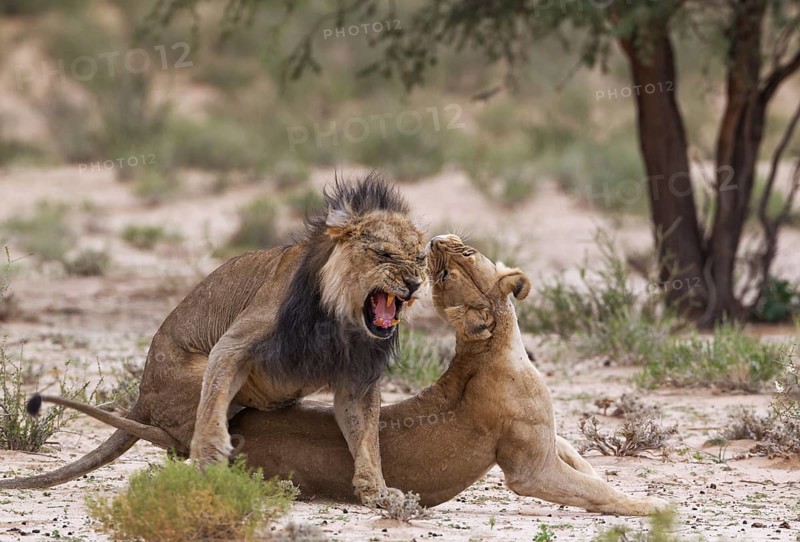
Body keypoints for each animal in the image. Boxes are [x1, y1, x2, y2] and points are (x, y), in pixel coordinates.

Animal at [0, 174, 427, 505]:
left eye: (420, 258)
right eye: (385, 254)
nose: (413, 283)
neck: (342, 318)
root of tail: (142, 396)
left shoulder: (357, 380)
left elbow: (366, 439)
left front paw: (378, 492)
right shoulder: (238, 340)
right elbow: (214, 400)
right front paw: (210, 458)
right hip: (193, 373)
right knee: (179, 432)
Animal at [9, 235, 668, 516]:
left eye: (456, 260)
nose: (439, 237)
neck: (490, 348)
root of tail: (147, 403)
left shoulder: (547, 441)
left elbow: (580, 461)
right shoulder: (528, 468)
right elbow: (592, 491)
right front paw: (650, 510)